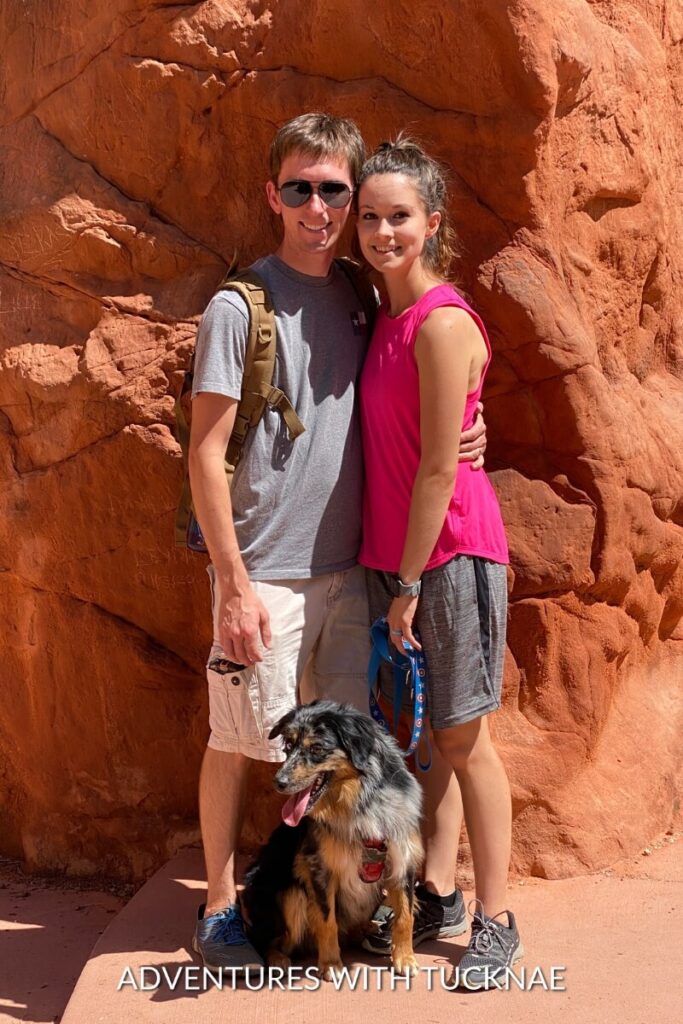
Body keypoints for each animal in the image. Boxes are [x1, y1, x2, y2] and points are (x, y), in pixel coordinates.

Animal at [240, 700, 421, 978]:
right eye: (288, 746)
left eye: (316, 748)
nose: (278, 782)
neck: (360, 800)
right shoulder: (319, 868)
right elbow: (327, 920)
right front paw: (331, 964)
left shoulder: (402, 858)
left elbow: (405, 915)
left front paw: (405, 958)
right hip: (289, 895)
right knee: (266, 940)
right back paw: (277, 958)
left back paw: (366, 929)